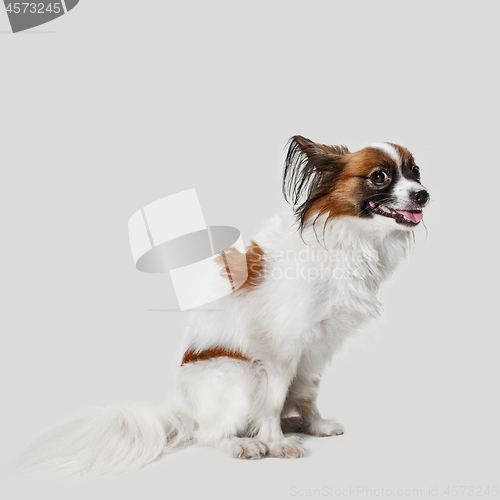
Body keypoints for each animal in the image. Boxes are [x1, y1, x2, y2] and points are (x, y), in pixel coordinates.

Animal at [19, 136, 430, 472]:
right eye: (379, 177)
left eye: (416, 172)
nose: (424, 194)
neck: (351, 241)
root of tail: (179, 411)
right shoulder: (281, 349)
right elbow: (273, 400)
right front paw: (276, 444)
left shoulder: (316, 350)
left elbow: (307, 394)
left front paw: (313, 425)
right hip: (240, 373)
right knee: (207, 434)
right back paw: (244, 444)